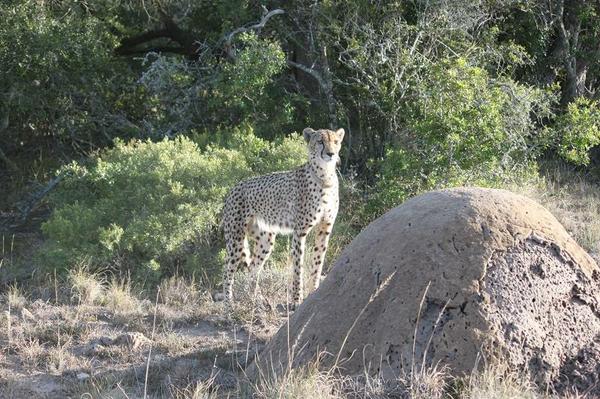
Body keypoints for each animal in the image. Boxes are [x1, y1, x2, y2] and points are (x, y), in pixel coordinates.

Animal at [221, 127, 344, 306]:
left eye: (335, 142)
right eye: (320, 141)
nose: (331, 154)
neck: (325, 177)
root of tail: (234, 187)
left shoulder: (325, 228)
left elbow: (317, 262)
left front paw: (314, 292)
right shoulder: (299, 232)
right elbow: (298, 268)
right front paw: (296, 300)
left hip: (265, 240)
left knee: (253, 268)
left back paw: (256, 299)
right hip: (235, 239)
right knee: (227, 270)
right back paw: (228, 304)